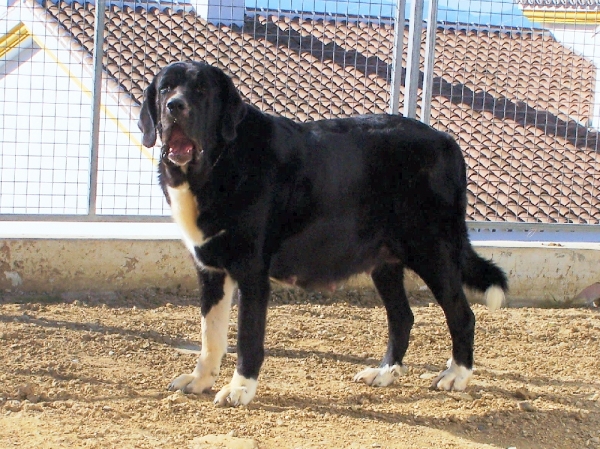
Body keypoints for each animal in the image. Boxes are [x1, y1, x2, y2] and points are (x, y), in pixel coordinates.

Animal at [137, 61, 506, 408]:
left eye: (201, 90)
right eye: (165, 88)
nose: (174, 106)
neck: (217, 165)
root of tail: (447, 141)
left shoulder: (253, 274)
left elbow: (247, 338)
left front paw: (240, 388)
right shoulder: (211, 271)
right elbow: (210, 335)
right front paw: (201, 380)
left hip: (432, 251)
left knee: (462, 314)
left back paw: (457, 375)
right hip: (385, 262)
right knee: (403, 317)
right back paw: (385, 372)